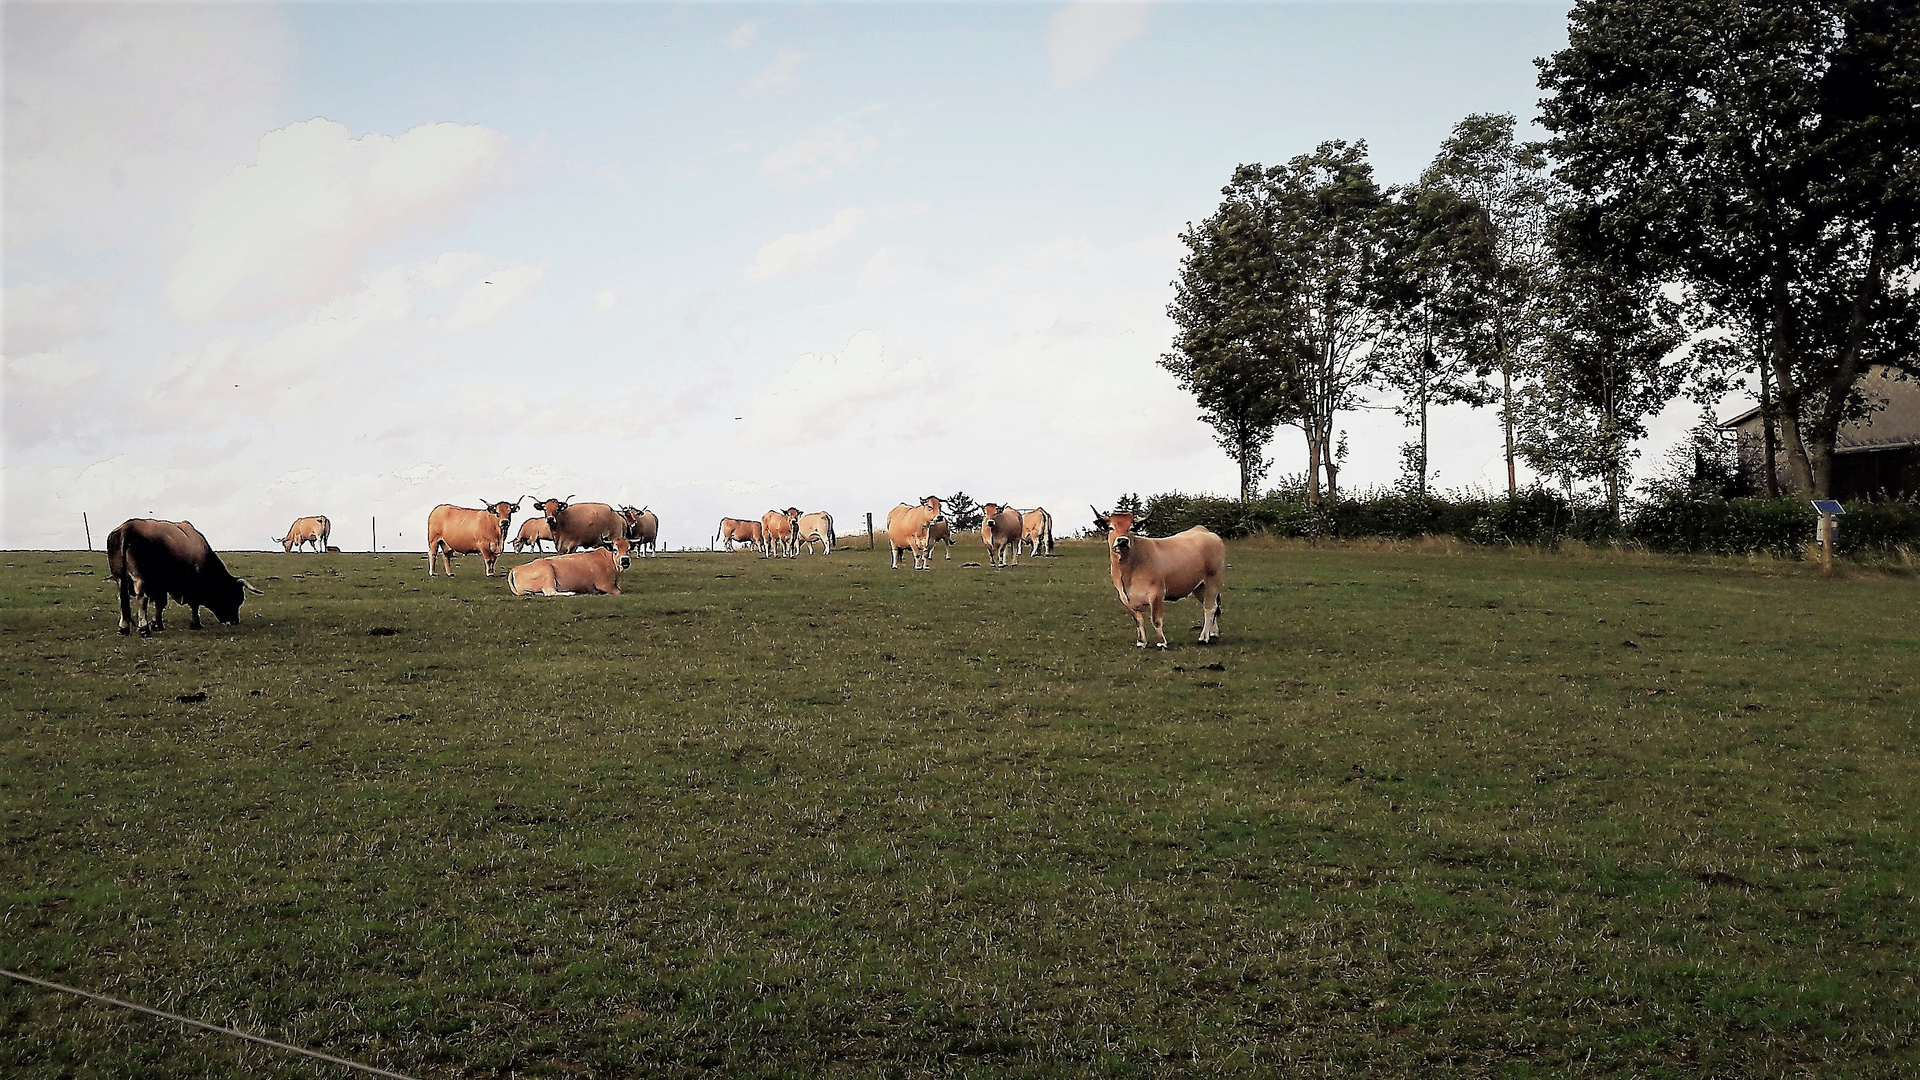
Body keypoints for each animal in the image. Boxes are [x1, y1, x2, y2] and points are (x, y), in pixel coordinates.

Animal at [105, 518, 261, 634]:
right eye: (233, 598)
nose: (234, 621)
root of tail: (128, 526)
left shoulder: (160, 587)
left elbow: (159, 604)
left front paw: (157, 624)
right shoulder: (190, 586)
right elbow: (193, 605)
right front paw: (195, 623)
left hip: (120, 578)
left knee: (123, 599)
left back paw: (123, 627)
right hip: (140, 578)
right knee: (142, 598)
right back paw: (144, 628)